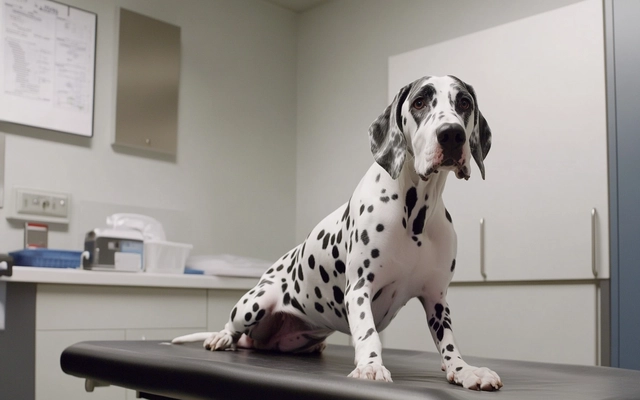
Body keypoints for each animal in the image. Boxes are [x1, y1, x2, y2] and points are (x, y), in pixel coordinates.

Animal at [172, 75, 502, 390]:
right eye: (420, 101)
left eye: (464, 102)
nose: (452, 134)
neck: (415, 212)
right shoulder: (360, 287)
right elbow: (368, 331)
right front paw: (371, 365)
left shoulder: (436, 300)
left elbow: (449, 344)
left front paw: (464, 370)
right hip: (256, 302)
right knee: (232, 327)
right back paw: (221, 337)